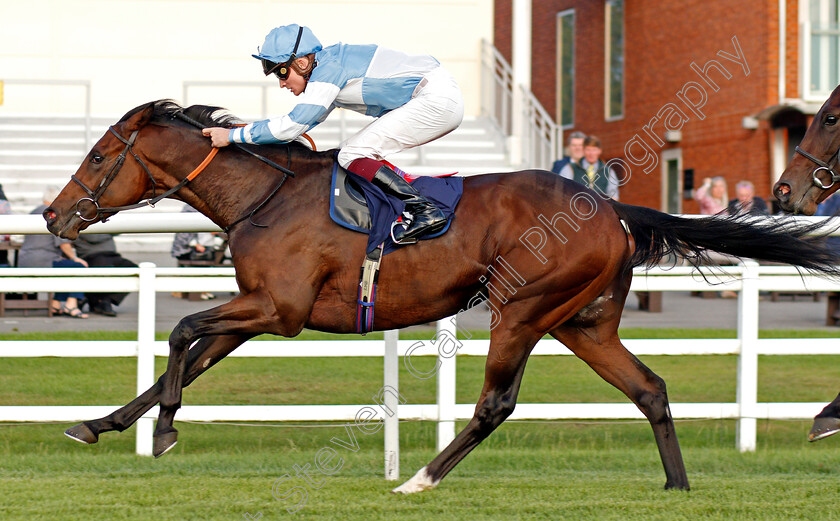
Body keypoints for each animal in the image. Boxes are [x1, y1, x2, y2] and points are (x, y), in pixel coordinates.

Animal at [46, 100, 840, 492]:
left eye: (98, 154)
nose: (53, 216)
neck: (264, 196)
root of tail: (610, 206)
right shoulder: (258, 308)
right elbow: (188, 355)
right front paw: (101, 423)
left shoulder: (282, 311)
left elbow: (181, 332)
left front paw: (165, 431)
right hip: (583, 322)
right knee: (650, 388)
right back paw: (676, 487)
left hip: (522, 309)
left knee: (496, 404)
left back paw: (420, 480)